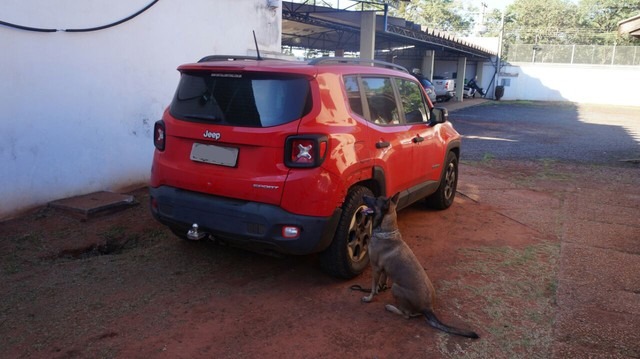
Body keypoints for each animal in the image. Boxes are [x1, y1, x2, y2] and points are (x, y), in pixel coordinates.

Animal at [362, 195, 478, 338]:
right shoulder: (383, 270)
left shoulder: (376, 268)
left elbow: (373, 288)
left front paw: (369, 298)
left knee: (407, 315)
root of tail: (427, 308)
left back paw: (390, 307)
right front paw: (380, 288)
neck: (387, 232)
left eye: (375, 199)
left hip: (395, 287)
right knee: (413, 314)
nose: (364, 196)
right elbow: (381, 282)